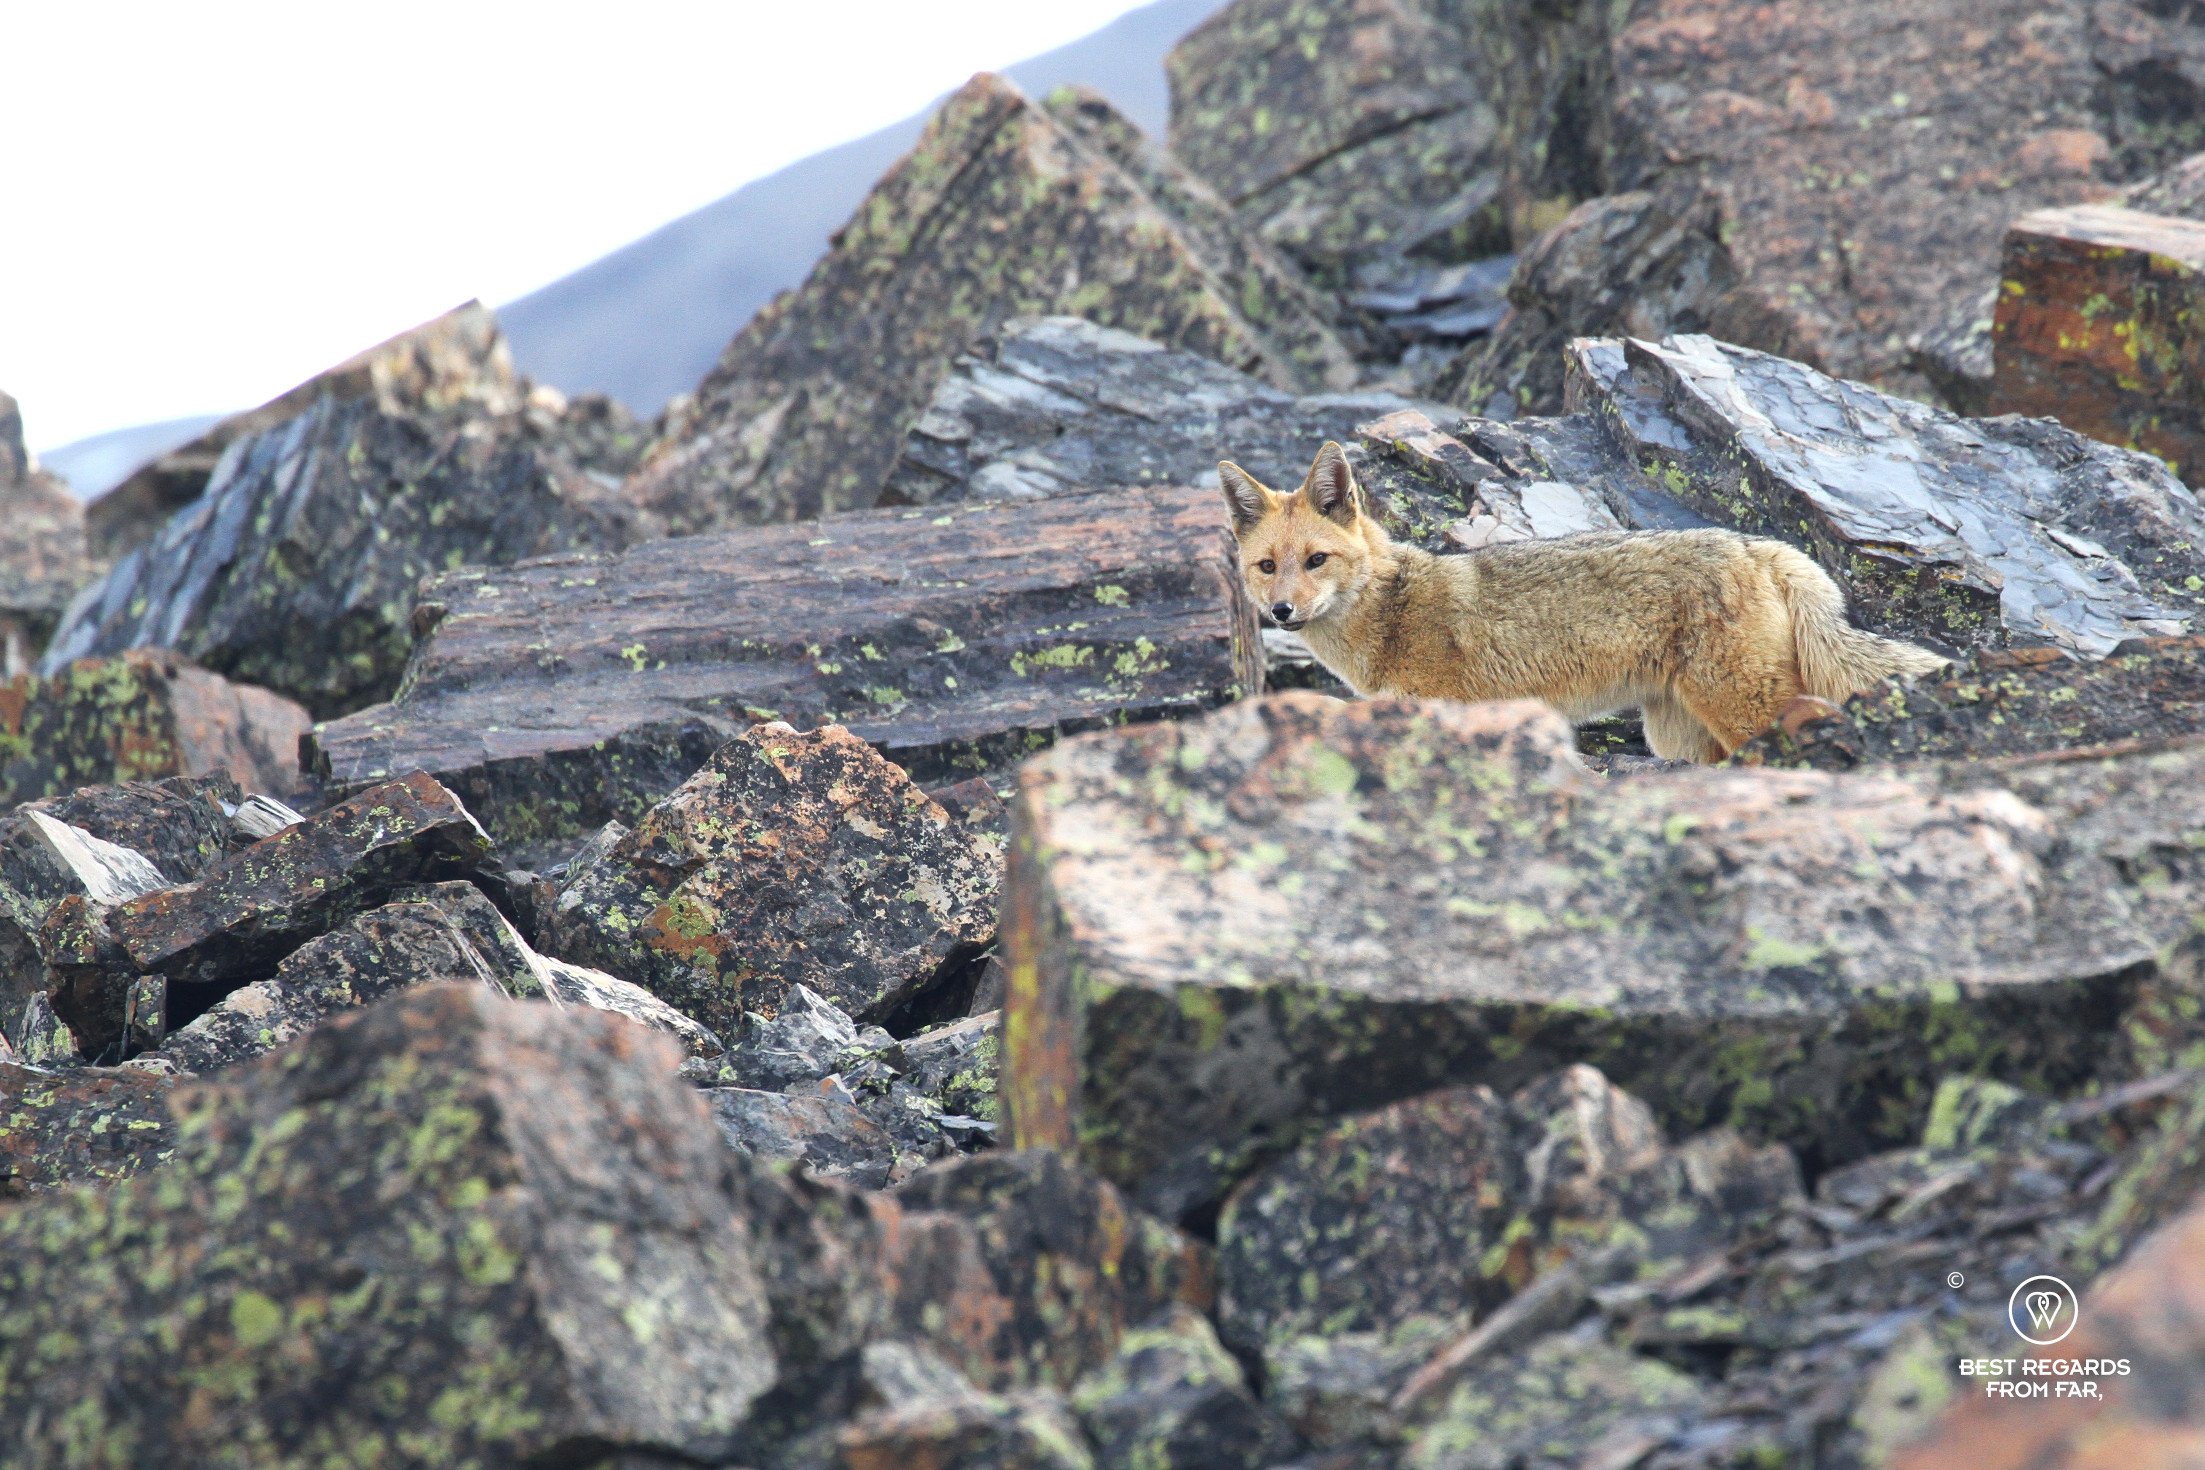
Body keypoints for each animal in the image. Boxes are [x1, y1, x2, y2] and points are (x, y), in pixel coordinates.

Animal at [1219, 442, 1949, 763]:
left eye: (1316, 561)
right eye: (1267, 567)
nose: (1281, 612)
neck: (1392, 615)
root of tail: (1759, 545)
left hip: (1741, 710)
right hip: (1680, 738)